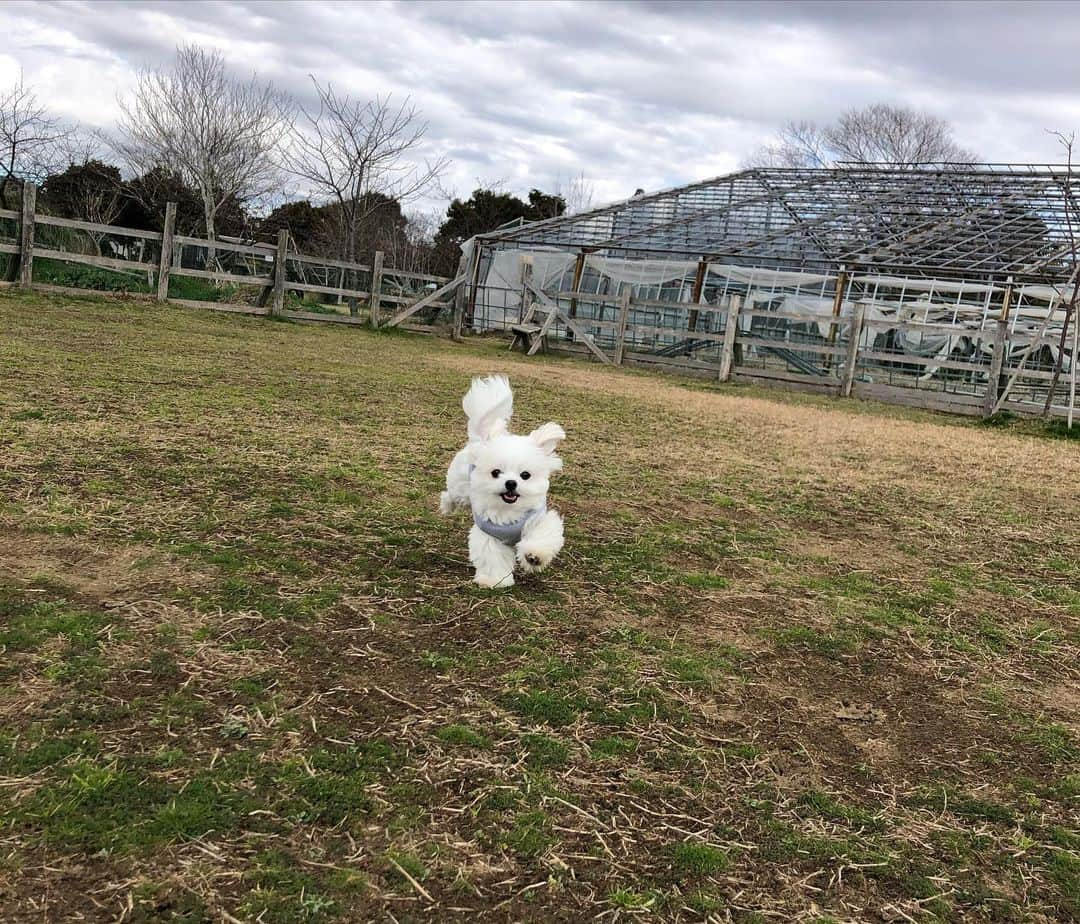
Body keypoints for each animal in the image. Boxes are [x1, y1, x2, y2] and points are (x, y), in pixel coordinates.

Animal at [438, 377, 565, 587]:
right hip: (460, 486)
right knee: (451, 495)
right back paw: (447, 506)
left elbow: (542, 535)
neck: (508, 510)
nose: (511, 483)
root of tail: (482, 438)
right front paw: (494, 580)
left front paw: (533, 557)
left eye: (525, 475)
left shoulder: (538, 519)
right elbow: (492, 557)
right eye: (496, 473)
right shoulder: (489, 536)